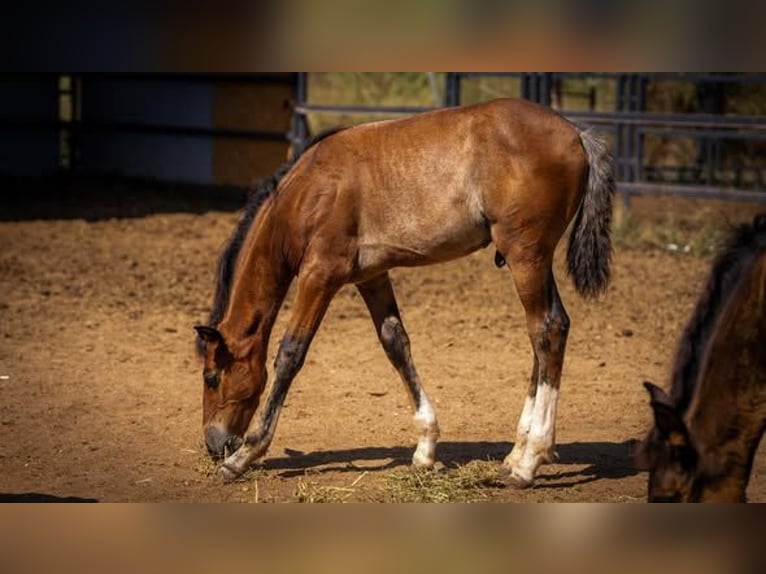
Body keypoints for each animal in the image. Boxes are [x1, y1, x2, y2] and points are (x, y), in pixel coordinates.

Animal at [194, 97, 614, 487]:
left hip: (526, 256)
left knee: (546, 331)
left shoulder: (320, 276)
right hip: (533, 260)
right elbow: (396, 344)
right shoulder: (372, 277)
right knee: (549, 334)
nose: (214, 446)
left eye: (211, 377)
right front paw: (425, 449)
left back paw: (528, 463)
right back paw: (516, 454)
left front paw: (245, 455)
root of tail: (576, 134)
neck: (307, 193)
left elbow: (290, 355)